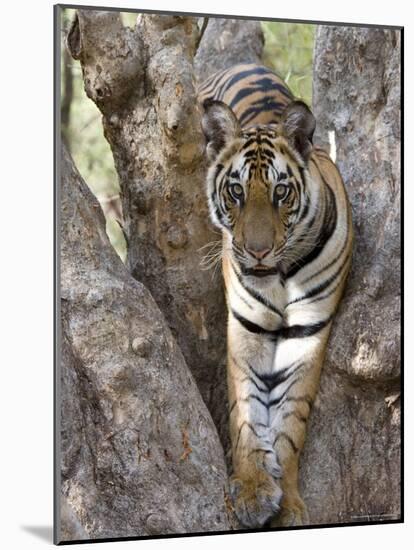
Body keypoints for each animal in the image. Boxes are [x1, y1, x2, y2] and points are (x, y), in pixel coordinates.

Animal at [197, 62, 352, 528]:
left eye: (281, 191)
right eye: (236, 191)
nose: (258, 251)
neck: (280, 277)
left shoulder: (308, 330)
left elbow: (291, 419)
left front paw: (289, 504)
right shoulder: (246, 327)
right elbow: (245, 409)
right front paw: (251, 488)